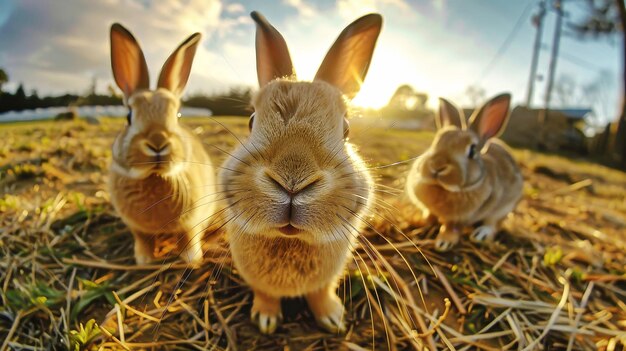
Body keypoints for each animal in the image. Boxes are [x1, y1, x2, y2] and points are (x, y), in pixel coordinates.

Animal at [106, 23, 216, 266]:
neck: (154, 177)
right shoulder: (137, 229)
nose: (157, 143)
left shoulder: (191, 223)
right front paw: (144, 259)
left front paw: (191, 260)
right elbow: (143, 240)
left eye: (178, 115)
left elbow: (189, 237)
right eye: (128, 116)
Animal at [217, 11, 382, 336]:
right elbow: (265, 294)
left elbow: (320, 293)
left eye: (346, 129)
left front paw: (333, 319)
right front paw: (266, 320)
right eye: (251, 120)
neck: (290, 240)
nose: (292, 183)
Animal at [404, 93, 520, 253]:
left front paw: (444, 242)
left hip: (505, 208)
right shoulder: (430, 210)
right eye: (436, 141)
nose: (437, 165)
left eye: (472, 150)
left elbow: (452, 228)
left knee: (494, 224)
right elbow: (429, 215)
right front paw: (416, 222)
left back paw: (480, 235)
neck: (442, 188)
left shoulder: (461, 219)